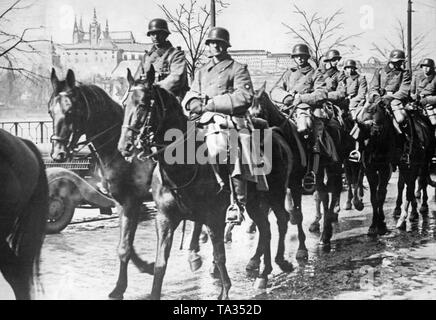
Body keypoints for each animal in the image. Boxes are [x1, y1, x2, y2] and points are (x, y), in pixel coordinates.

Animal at [48, 68, 157, 300]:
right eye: (50, 111)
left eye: (70, 111)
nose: (58, 154)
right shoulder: (121, 201)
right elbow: (125, 242)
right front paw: (145, 267)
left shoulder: (132, 200)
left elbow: (125, 245)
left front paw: (120, 287)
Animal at [116, 67, 304, 300]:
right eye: (124, 104)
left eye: (143, 104)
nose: (124, 146)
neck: (183, 166)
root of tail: (276, 133)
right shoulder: (165, 219)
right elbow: (160, 263)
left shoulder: (214, 216)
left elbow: (219, 255)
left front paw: (224, 291)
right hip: (254, 202)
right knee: (266, 229)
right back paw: (263, 273)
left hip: (275, 195)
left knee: (282, 221)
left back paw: (277, 264)